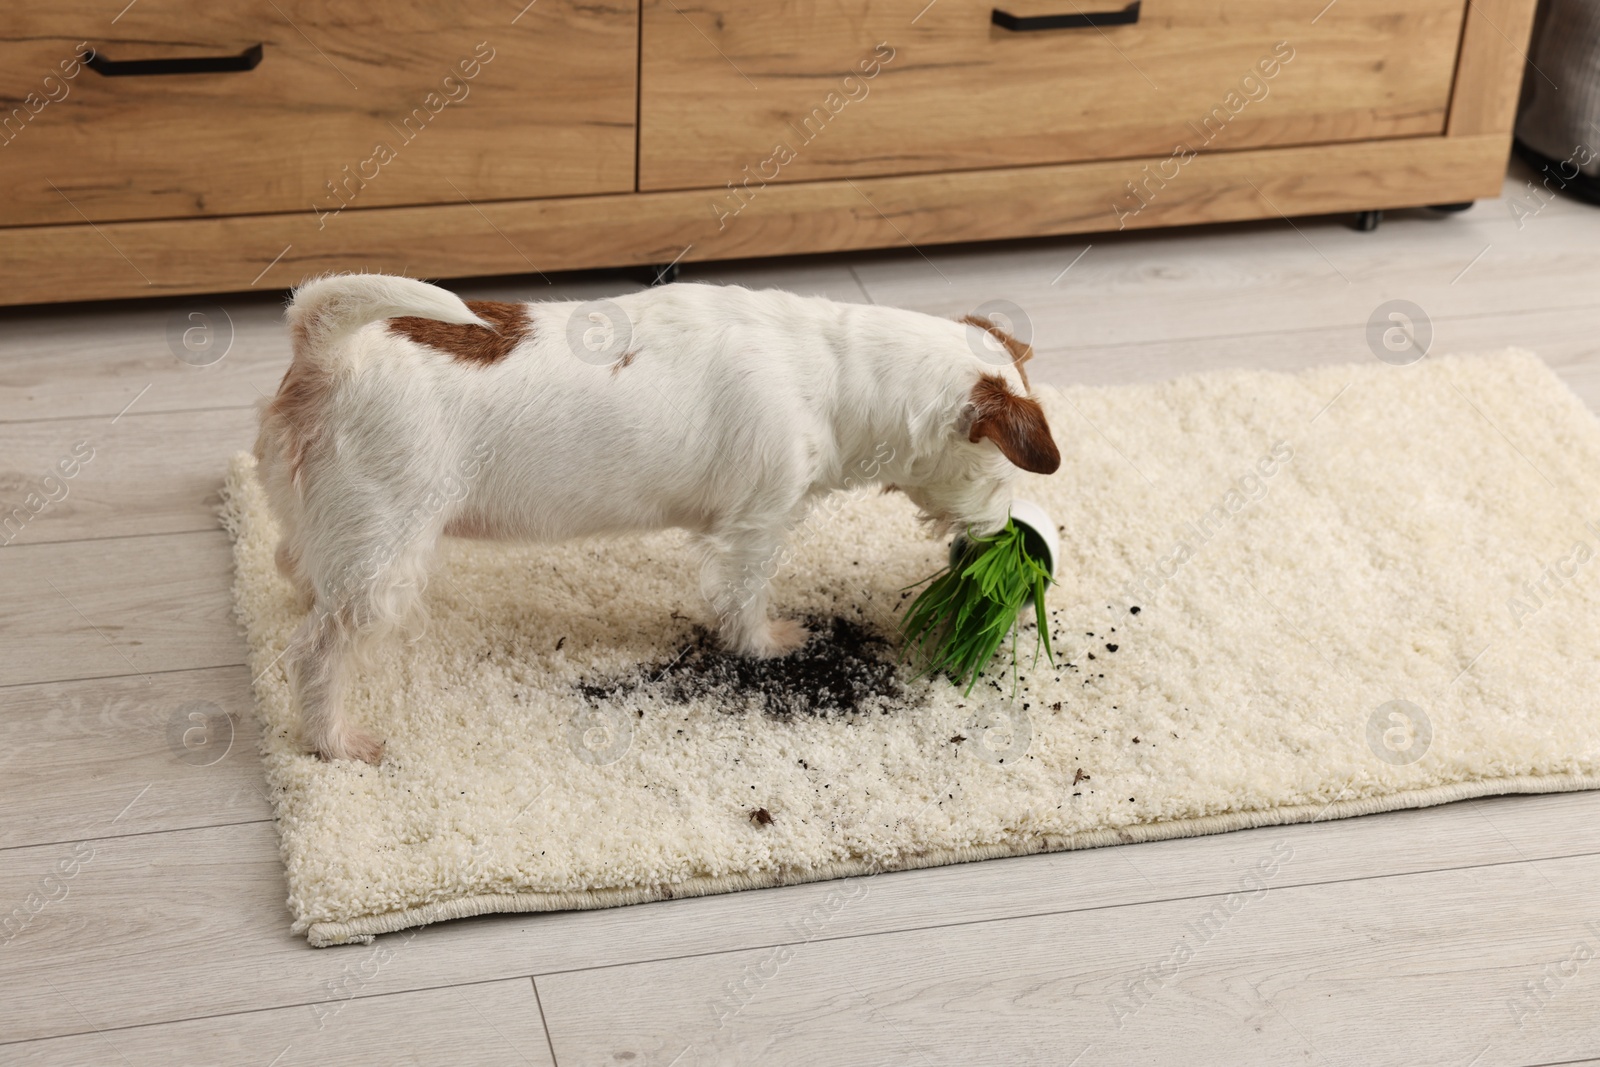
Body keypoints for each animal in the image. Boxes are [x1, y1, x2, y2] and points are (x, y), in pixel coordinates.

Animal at [256, 273, 1062, 758]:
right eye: (1002, 470)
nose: (1007, 535)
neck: (838, 372)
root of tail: (326, 353)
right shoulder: (756, 526)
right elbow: (744, 597)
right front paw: (767, 643)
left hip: (325, 526)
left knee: (295, 567)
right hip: (385, 555)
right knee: (315, 653)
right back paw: (335, 739)